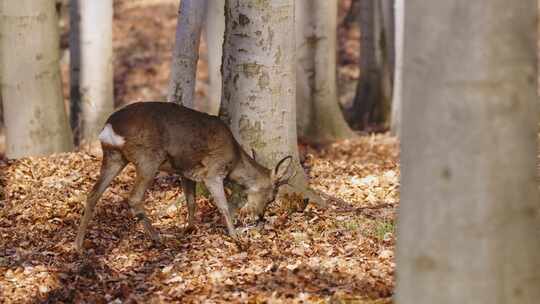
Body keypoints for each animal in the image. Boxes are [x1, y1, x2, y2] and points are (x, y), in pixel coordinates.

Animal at [75, 101, 296, 252]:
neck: (235, 161)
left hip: (114, 157)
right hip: (147, 158)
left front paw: (189, 229)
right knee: (134, 198)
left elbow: (191, 201)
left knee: (93, 194)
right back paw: (157, 238)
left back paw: (78, 245)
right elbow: (223, 206)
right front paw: (235, 237)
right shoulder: (213, 171)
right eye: (272, 197)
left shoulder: (187, 172)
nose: (260, 216)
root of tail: (109, 129)